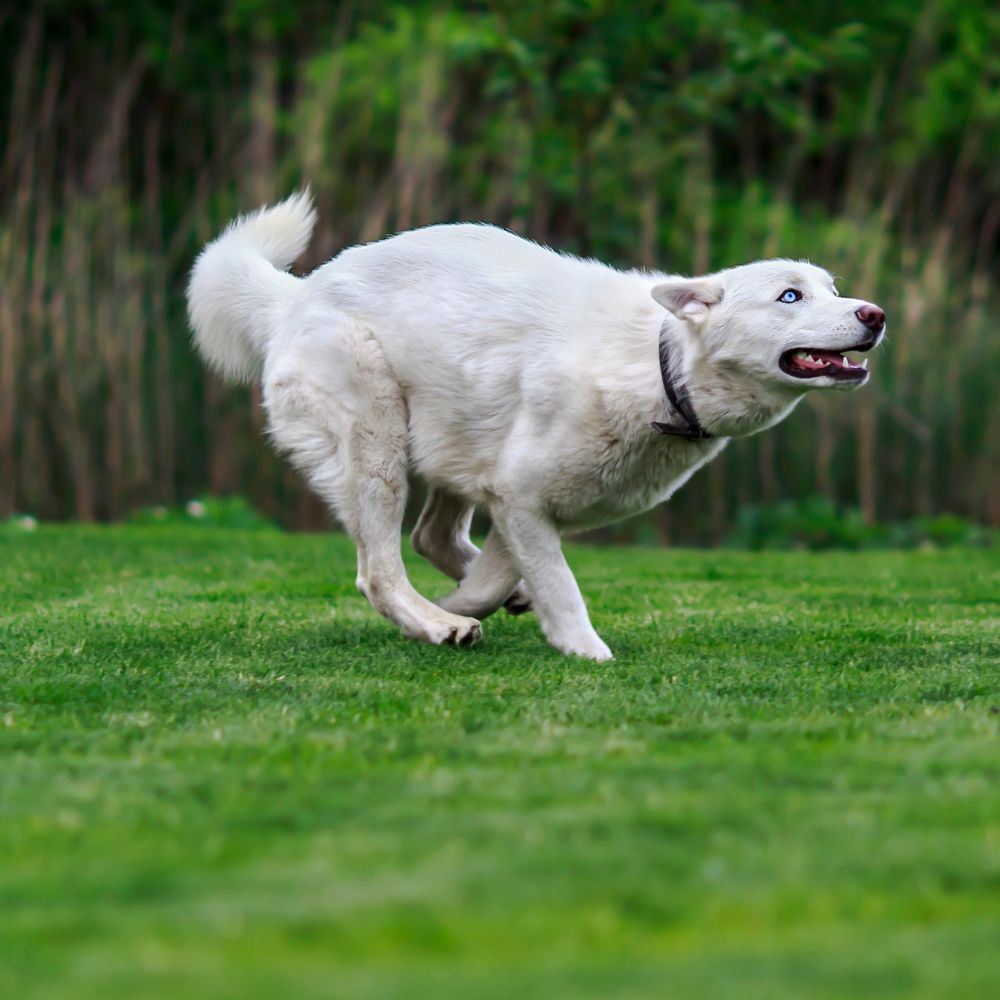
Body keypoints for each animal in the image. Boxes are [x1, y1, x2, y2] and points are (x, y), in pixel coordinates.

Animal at [188, 195, 884, 664]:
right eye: (790, 297)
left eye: (832, 289)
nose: (874, 315)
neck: (661, 368)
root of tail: (296, 295)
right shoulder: (521, 497)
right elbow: (557, 582)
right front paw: (577, 646)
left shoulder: (526, 501)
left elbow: (503, 572)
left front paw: (489, 599)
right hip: (377, 449)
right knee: (380, 571)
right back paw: (434, 625)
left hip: (454, 445)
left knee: (431, 536)